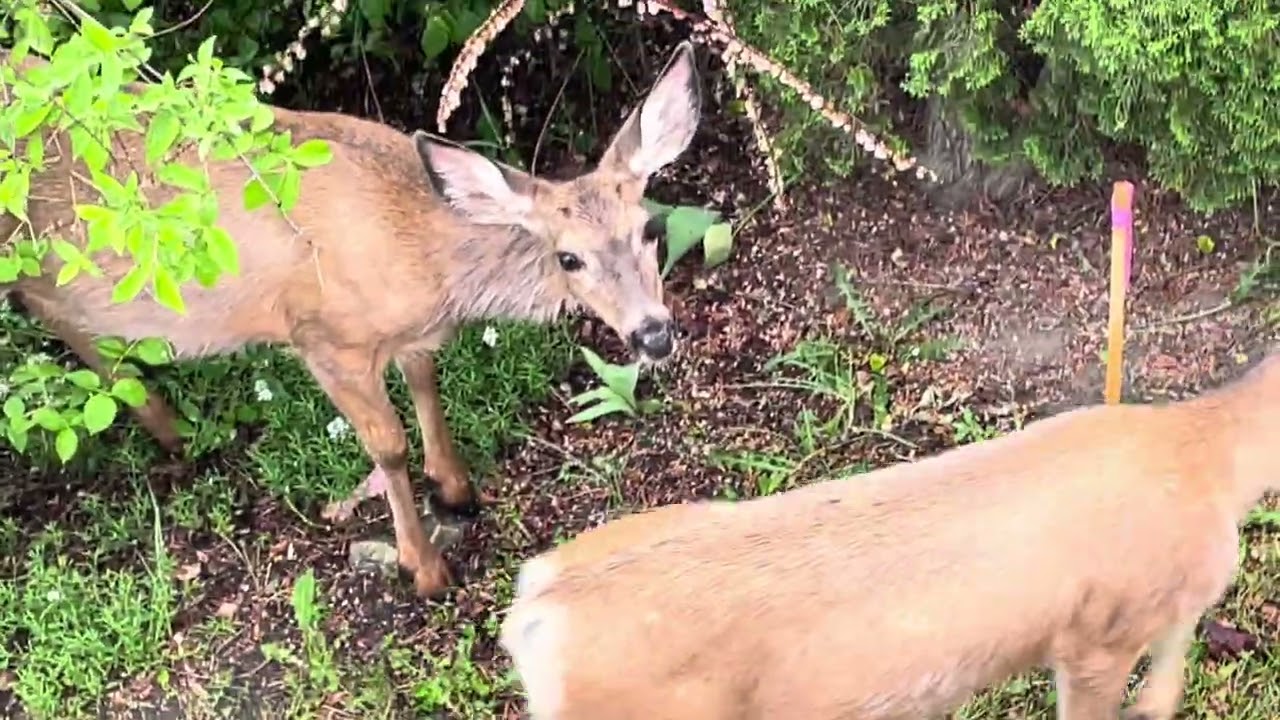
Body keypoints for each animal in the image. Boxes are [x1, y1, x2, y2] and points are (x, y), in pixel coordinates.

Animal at [0, 41, 703, 600]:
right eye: (569, 257)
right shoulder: (322, 337)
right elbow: (387, 446)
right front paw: (425, 568)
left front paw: (456, 488)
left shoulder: (409, 335)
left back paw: (172, 431)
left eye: (650, 228)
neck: (423, 255)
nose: (653, 334)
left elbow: (426, 382)